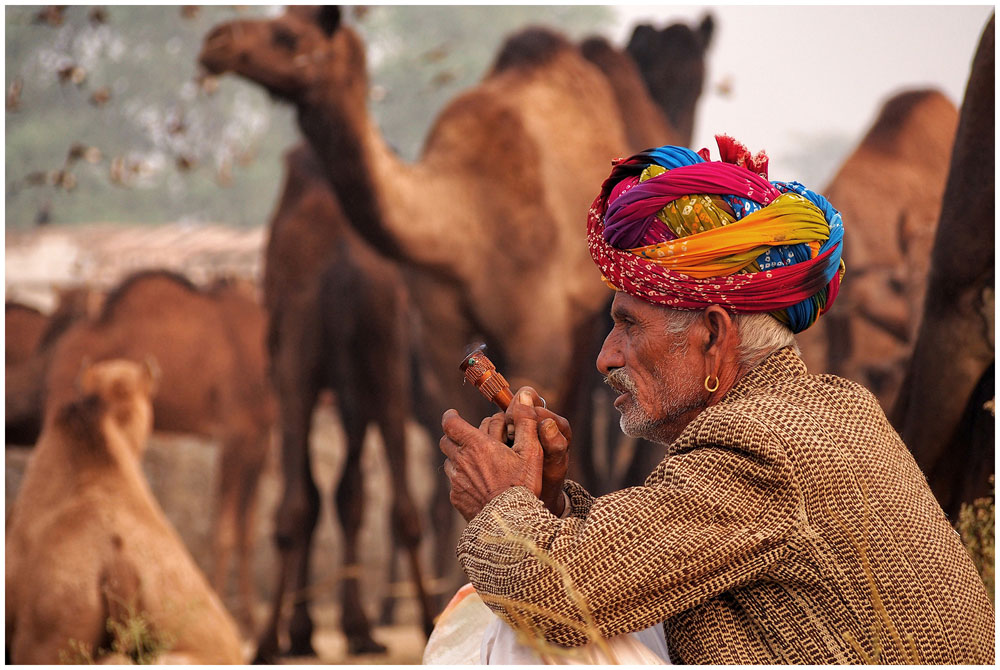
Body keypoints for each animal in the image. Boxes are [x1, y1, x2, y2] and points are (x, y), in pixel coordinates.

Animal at [43, 268, 274, 632]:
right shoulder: (236, 432)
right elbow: (223, 530)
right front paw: (224, 610)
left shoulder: (260, 436)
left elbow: (247, 530)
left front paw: (249, 620)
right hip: (62, 397)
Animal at [256, 143, 432, 660]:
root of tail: (343, 264)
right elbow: (350, 495)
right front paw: (356, 629)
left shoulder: (293, 375)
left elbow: (316, 497)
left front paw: (302, 633)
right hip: (386, 358)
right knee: (401, 504)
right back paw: (429, 623)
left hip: (296, 368)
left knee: (293, 506)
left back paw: (266, 643)